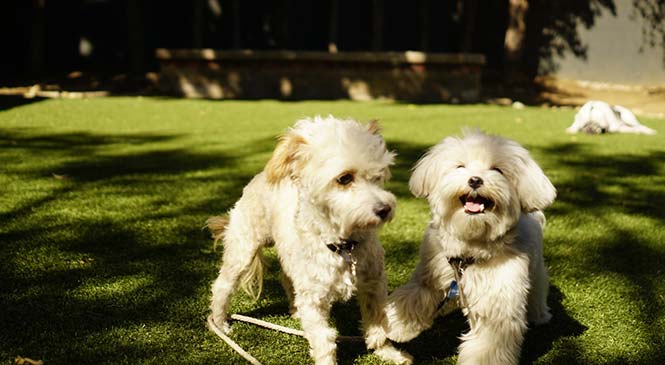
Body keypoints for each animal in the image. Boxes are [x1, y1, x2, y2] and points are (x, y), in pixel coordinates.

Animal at [210, 115, 412, 364]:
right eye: (344, 178)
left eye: (378, 177)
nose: (385, 209)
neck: (343, 245)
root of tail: (260, 176)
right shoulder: (314, 298)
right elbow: (324, 338)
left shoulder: (374, 284)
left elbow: (378, 323)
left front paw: (387, 352)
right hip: (243, 248)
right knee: (222, 285)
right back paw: (220, 322)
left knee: (287, 279)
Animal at [384, 130, 556, 364]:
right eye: (460, 166)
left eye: (497, 170)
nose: (475, 179)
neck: (470, 247)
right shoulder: (432, 273)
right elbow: (412, 297)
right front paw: (395, 325)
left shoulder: (497, 304)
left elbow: (488, 346)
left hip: (536, 272)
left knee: (538, 291)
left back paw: (539, 315)